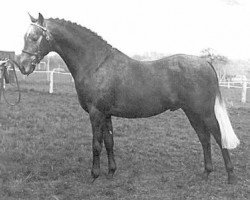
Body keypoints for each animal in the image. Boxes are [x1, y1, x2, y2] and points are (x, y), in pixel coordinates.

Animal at [16, 13, 239, 184]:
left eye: (34, 36)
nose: (22, 65)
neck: (96, 64)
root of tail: (205, 63)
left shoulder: (96, 113)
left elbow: (96, 144)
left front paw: (94, 175)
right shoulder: (106, 114)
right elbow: (109, 142)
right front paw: (111, 172)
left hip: (204, 112)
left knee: (218, 136)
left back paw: (230, 176)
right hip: (192, 112)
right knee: (204, 138)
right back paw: (206, 173)